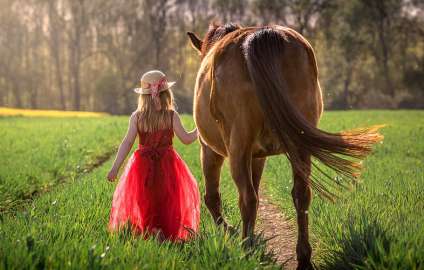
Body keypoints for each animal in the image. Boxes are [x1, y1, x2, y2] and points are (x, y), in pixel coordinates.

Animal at [187, 23, 382, 270]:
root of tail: (261, 35)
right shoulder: (258, 157)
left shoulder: (210, 150)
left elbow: (212, 197)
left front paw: (231, 232)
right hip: (299, 147)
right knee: (301, 194)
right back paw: (303, 257)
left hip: (238, 148)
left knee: (247, 197)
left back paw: (247, 249)